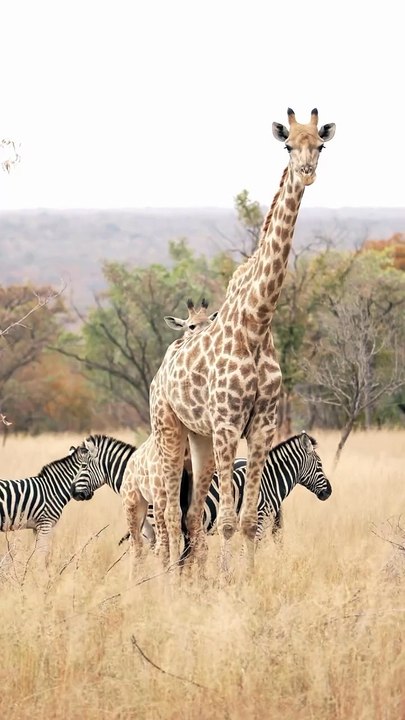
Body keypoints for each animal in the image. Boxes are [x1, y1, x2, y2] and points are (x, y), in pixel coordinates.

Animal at [149, 107, 336, 571]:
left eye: (320, 145)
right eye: (287, 144)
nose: (306, 172)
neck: (257, 323)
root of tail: (160, 372)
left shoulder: (262, 425)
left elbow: (250, 521)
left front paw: (245, 579)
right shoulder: (227, 423)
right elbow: (230, 522)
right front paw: (226, 581)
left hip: (197, 438)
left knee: (190, 515)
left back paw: (192, 577)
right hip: (169, 428)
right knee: (167, 513)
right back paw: (166, 578)